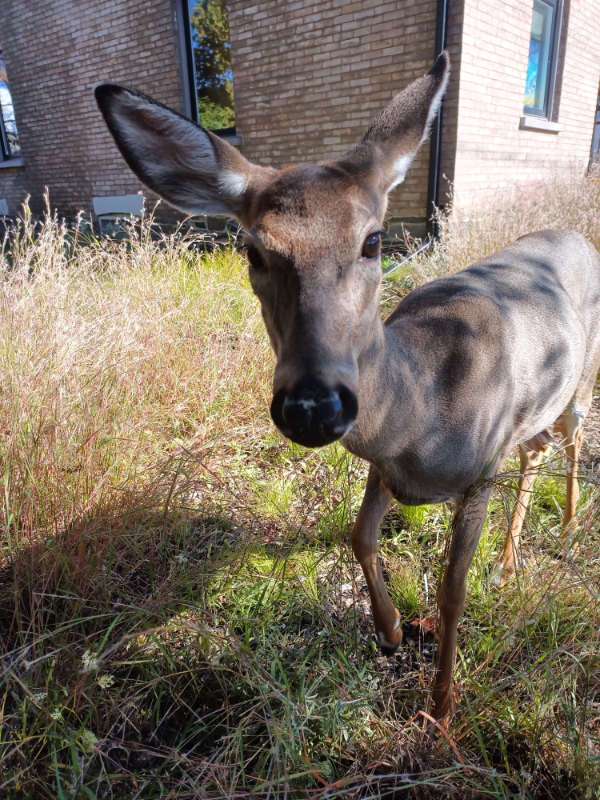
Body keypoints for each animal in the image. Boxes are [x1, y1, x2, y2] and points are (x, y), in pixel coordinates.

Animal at [94, 53, 600, 720]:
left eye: (374, 240)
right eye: (252, 250)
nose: (313, 404)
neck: (424, 413)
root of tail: (577, 234)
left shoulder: (481, 469)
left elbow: (453, 589)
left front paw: (442, 704)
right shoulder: (383, 467)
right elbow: (359, 536)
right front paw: (390, 629)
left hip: (580, 385)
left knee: (572, 442)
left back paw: (565, 529)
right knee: (538, 449)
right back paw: (512, 560)